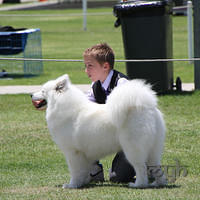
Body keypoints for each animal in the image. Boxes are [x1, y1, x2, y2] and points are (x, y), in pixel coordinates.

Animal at [31, 74, 167, 189]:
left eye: (43, 91)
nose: (31, 95)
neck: (62, 106)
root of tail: (145, 106)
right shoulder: (84, 153)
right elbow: (85, 170)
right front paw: (83, 182)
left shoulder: (72, 152)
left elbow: (75, 171)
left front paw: (72, 185)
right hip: (154, 149)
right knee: (156, 167)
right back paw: (158, 183)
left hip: (133, 149)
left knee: (140, 167)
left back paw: (138, 184)